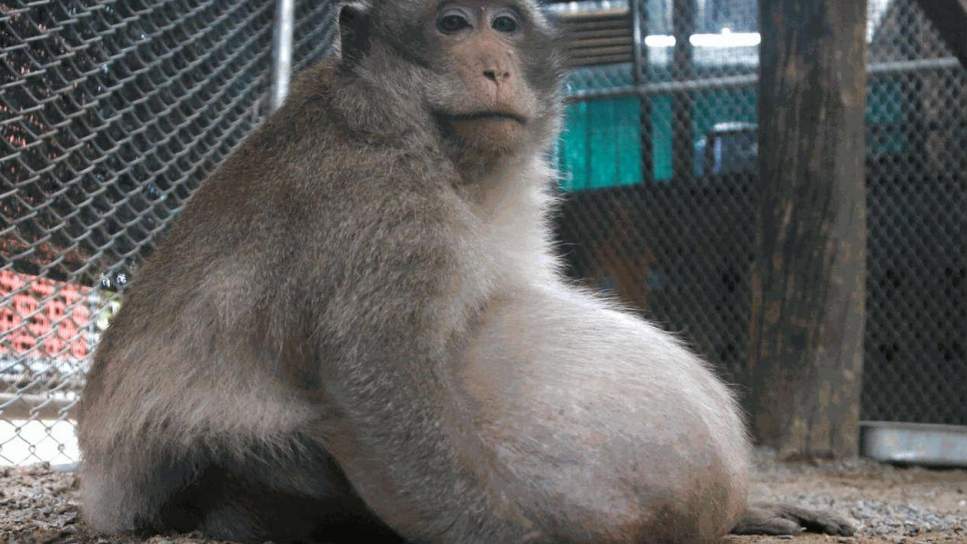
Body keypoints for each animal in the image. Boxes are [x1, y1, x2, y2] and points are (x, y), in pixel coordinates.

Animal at [77, 2, 856, 540]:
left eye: (504, 24)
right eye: (453, 24)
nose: (495, 66)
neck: (427, 144)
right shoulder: (377, 206)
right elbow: (373, 371)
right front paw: (507, 536)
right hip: (188, 472)